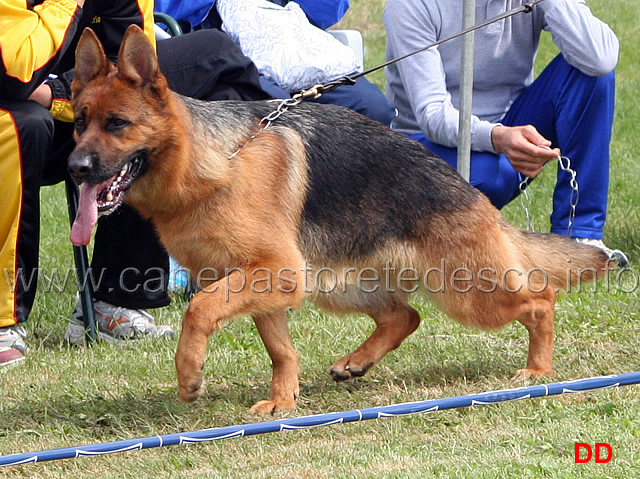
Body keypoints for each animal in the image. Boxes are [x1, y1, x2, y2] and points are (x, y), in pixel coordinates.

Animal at [67, 26, 612, 414]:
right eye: (80, 122)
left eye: (117, 124)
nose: (74, 169)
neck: (214, 162)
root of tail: (470, 192)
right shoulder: (264, 282)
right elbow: (280, 350)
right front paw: (283, 400)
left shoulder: (272, 273)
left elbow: (198, 310)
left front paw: (189, 375)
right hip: (341, 285)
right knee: (405, 316)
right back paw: (357, 361)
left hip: (466, 291)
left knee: (539, 299)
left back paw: (537, 370)